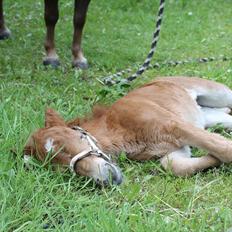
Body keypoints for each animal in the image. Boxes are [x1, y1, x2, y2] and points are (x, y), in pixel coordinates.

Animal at [23, 77, 232, 186]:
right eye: (63, 170)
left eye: (67, 146)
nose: (104, 180)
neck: (121, 131)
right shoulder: (174, 149)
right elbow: (175, 166)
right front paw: (215, 161)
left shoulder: (174, 125)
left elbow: (222, 147)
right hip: (213, 117)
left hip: (220, 93)